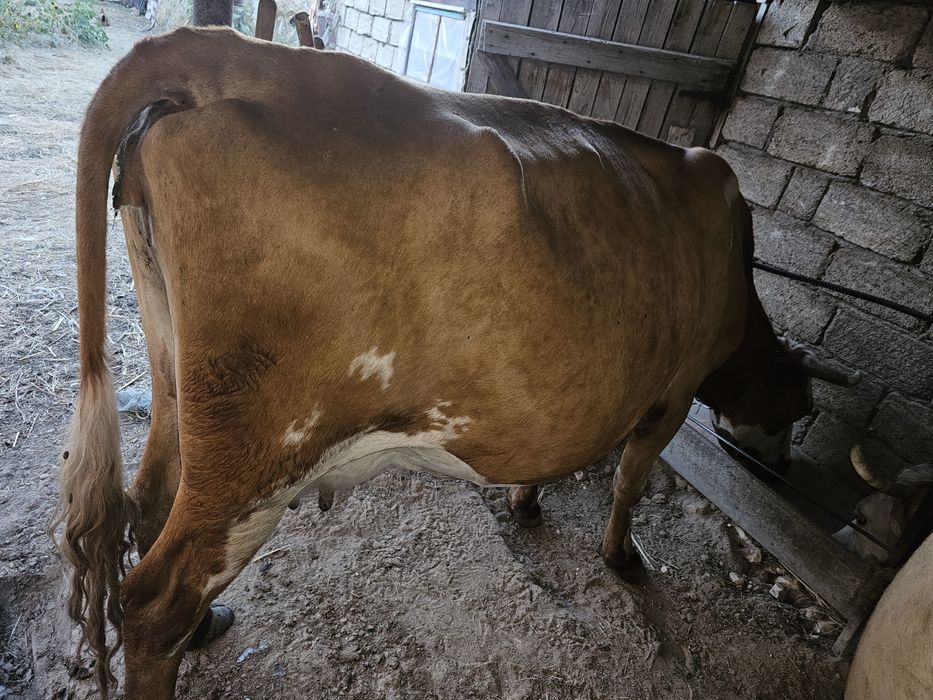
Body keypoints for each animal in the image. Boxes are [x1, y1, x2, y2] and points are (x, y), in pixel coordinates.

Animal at [49, 27, 857, 698]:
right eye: (800, 408)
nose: (782, 466)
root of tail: (228, 49)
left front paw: (526, 502)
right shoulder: (673, 392)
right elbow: (629, 480)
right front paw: (621, 556)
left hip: (179, 389)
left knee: (146, 505)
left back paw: (205, 628)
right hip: (258, 455)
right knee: (154, 600)